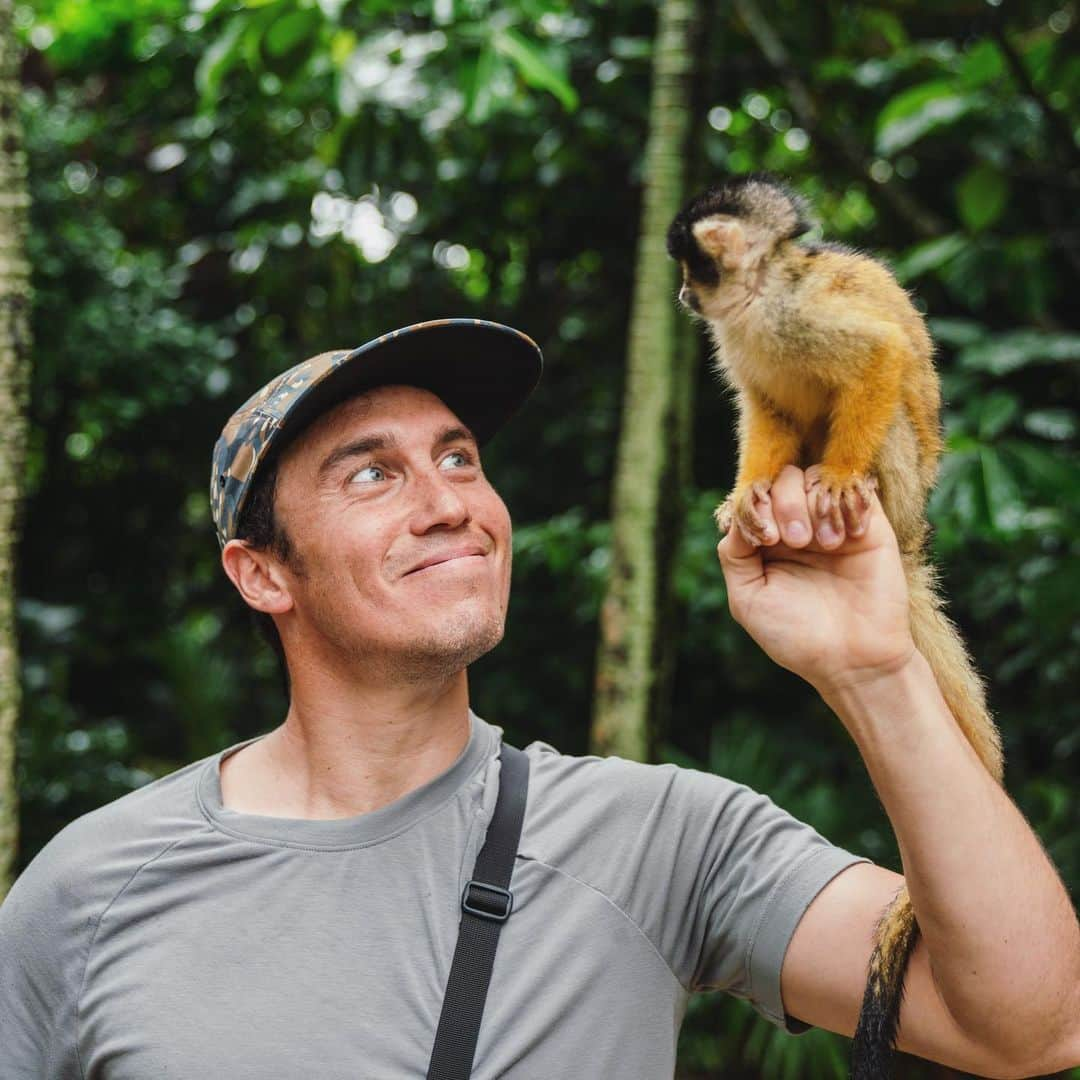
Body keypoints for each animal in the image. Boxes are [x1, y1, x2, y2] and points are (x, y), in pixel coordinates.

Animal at [665, 174, 1002, 1080]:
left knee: (887, 404)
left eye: (691, 269)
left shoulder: (797, 312)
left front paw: (842, 478)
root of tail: (913, 530)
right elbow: (769, 408)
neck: (756, 299)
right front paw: (750, 494)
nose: (681, 298)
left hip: (909, 480)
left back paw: (853, 488)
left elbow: (878, 355)